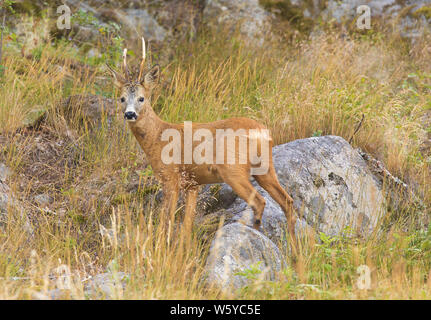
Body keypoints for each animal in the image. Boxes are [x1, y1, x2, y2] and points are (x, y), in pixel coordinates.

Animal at [108, 38, 296, 248]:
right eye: (122, 98)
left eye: (142, 98)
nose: (129, 114)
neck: (157, 136)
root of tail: (262, 132)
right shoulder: (193, 183)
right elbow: (187, 223)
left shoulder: (170, 176)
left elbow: (167, 219)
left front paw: (162, 247)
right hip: (265, 167)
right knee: (287, 201)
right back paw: (294, 250)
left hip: (233, 168)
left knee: (259, 201)